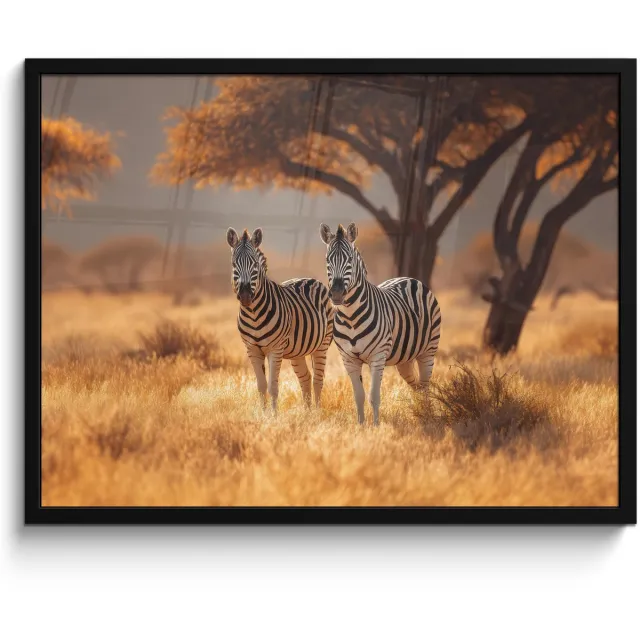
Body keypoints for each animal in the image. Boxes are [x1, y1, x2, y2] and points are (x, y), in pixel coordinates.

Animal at [227, 227, 334, 412]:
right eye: (234, 264)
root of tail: (311, 279)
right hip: (297, 351)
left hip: (322, 344)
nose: (246, 296)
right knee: (305, 378)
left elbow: (273, 387)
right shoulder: (252, 349)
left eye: (255, 265)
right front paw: (263, 414)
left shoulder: (275, 349)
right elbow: (261, 386)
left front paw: (274, 415)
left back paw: (317, 412)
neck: (254, 315)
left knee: (318, 380)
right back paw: (307, 413)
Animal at [320, 222, 441, 425]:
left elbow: (374, 396)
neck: (351, 317)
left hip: (428, 351)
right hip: (404, 359)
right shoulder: (349, 359)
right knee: (416, 385)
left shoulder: (377, 357)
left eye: (350, 260)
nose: (336, 294)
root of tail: (409, 278)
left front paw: (376, 427)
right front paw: (361, 426)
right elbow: (359, 396)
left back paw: (427, 416)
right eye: (328, 260)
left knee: (425, 387)